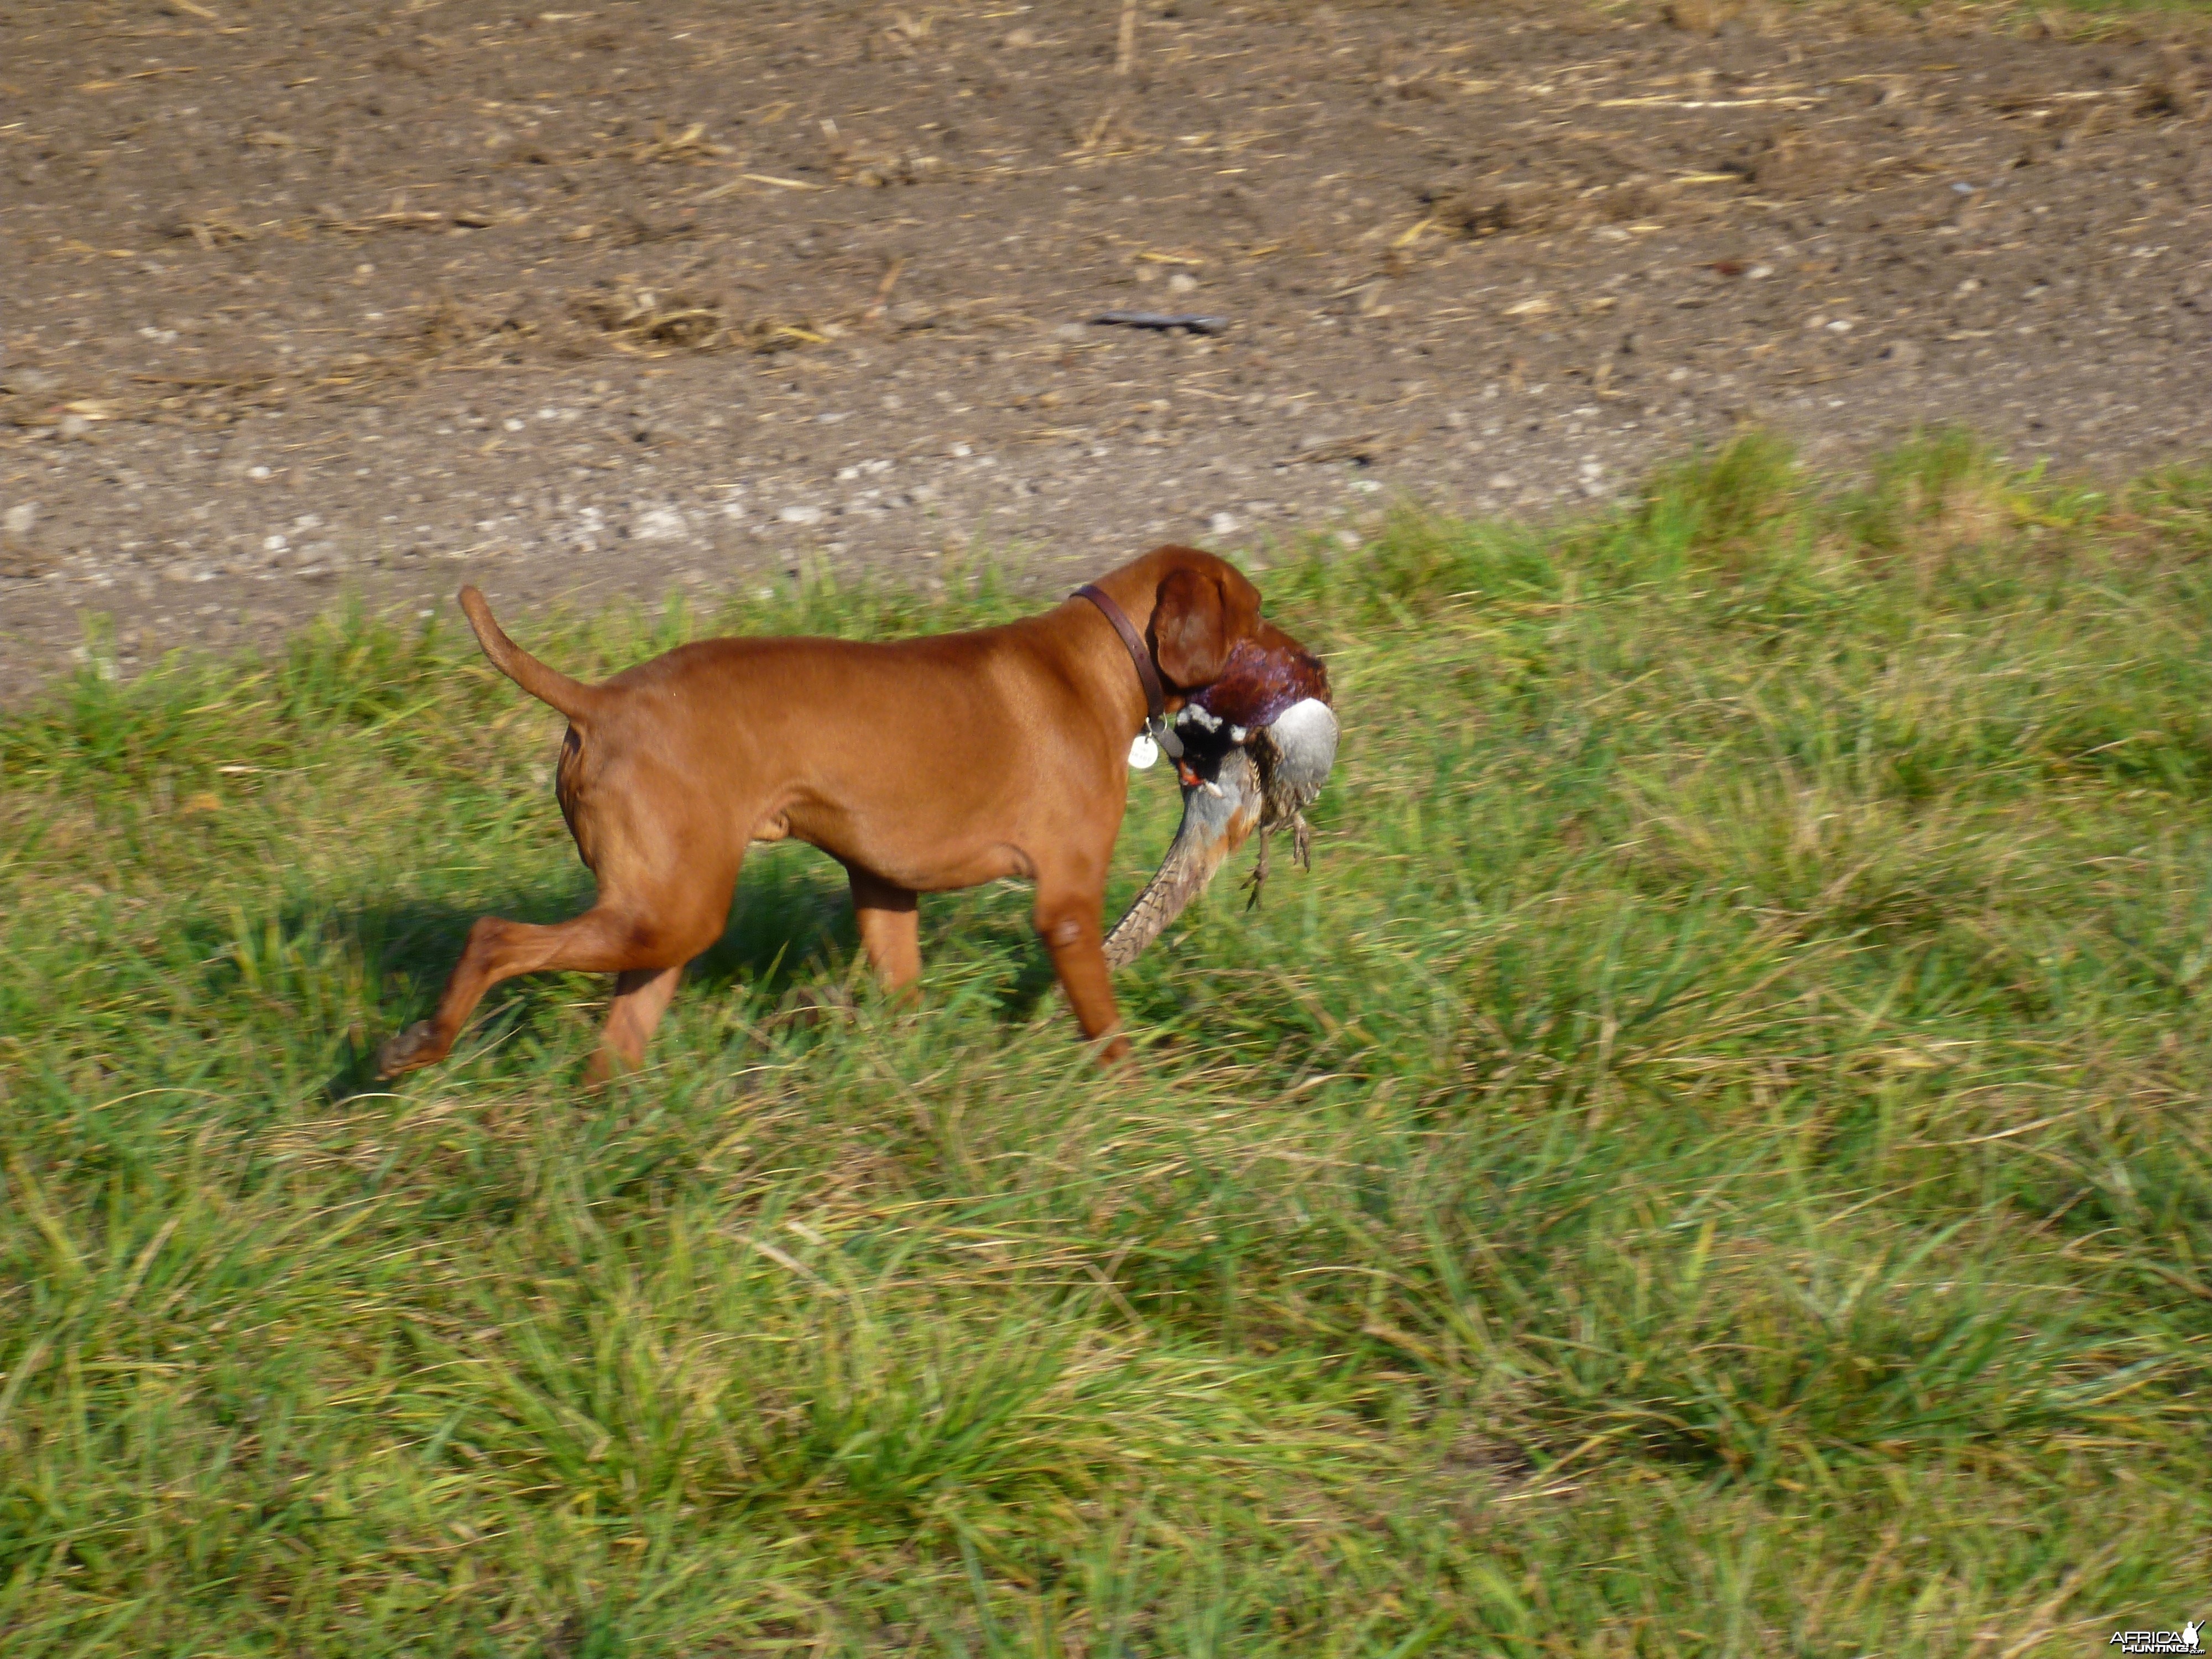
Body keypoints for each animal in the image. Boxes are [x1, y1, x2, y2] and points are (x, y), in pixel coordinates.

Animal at [374, 553, 1318, 1084]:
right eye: (1255, 611)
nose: (1315, 662)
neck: (1093, 659)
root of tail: (597, 701)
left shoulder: (885, 894)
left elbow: (905, 996)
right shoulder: (1068, 911)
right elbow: (1107, 1031)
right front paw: (1130, 1101)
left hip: (665, 923)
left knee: (610, 1054)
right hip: (668, 915)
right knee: (493, 937)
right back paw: (421, 1044)